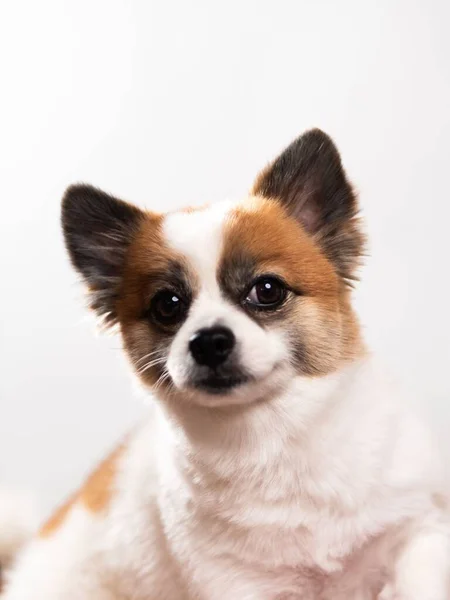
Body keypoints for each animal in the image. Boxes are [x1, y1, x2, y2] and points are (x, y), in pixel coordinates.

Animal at [3, 129, 450, 596]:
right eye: (167, 305)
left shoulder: (418, 530)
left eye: (267, 289)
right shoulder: (237, 584)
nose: (209, 342)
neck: (278, 437)